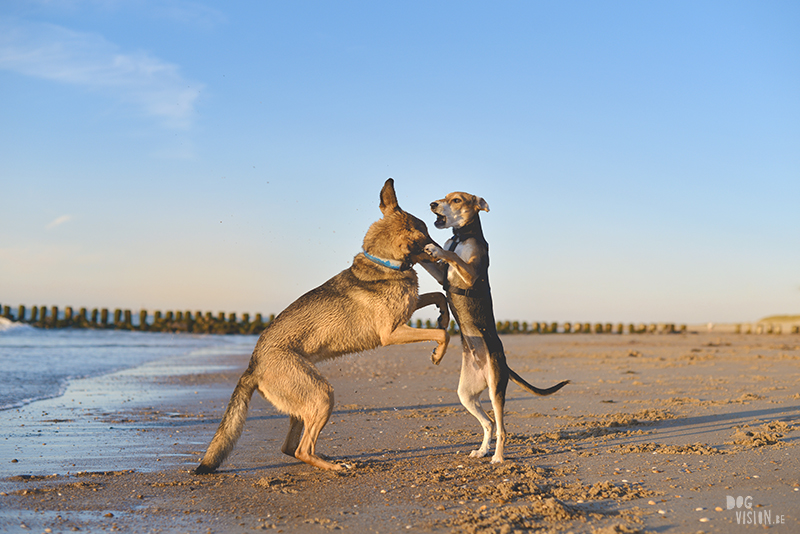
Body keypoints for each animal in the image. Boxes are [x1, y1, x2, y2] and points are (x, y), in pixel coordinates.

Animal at [191, 180, 446, 474]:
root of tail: (253, 366)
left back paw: (329, 460)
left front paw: (444, 315)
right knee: (302, 448)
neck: (383, 262)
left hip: (306, 402)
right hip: (322, 395)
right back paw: (336, 468)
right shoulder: (392, 333)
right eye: (426, 235)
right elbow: (441, 333)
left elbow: (438, 297)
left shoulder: (409, 310)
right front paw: (438, 353)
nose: (442, 251)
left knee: (290, 447)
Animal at [422, 193, 564, 464]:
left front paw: (436, 248)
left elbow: (454, 257)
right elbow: (435, 263)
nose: (432, 204)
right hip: (466, 394)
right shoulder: (441, 275)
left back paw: (497, 457)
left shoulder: (470, 274)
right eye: (444, 197)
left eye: (456, 200)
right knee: (488, 424)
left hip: (496, 390)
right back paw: (482, 450)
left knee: (502, 428)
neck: (462, 236)